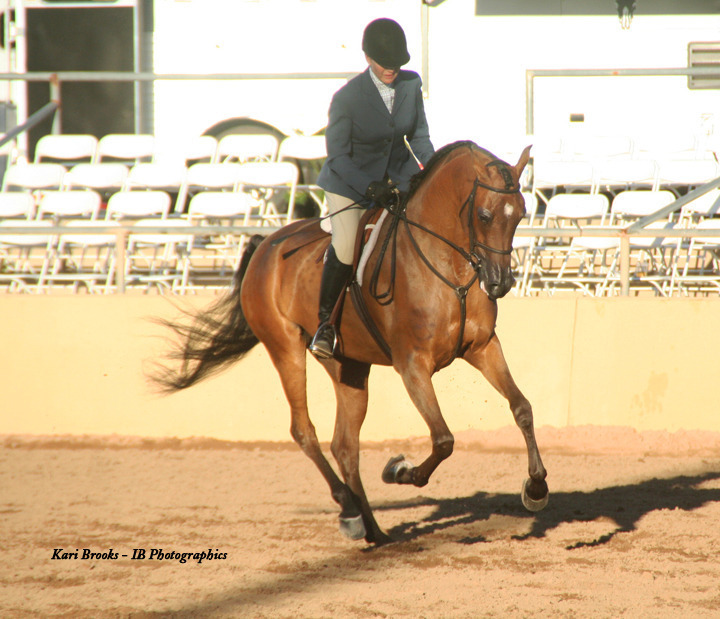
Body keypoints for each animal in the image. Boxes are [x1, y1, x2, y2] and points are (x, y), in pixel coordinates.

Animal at [153, 140, 548, 545]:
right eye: (484, 215)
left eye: (520, 214)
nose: (500, 283)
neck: (448, 266)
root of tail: (266, 246)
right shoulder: (412, 365)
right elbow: (443, 439)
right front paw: (399, 470)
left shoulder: (483, 348)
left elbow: (522, 407)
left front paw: (535, 488)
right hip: (285, 349)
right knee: (304, 431)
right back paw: (349, 509)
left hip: (348, 367)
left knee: (345, 445)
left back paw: (371, 528)